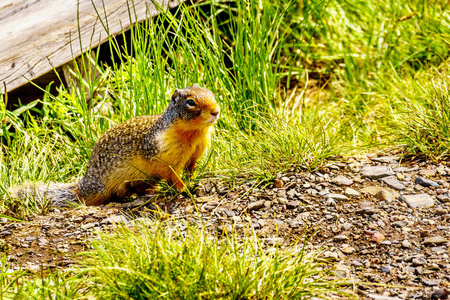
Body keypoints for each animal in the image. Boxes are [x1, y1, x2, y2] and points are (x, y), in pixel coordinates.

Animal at [12, 84, 220, 206]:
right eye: (191, 102)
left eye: (211, 93)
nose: (216, 111)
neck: (194, 133)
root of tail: (80, 185)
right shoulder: (166, 157)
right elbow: (173, 175)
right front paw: (184, 188)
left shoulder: (195, 153)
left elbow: (191, 167)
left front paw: (193, 180)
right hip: (99, 187)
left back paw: (149, 191)